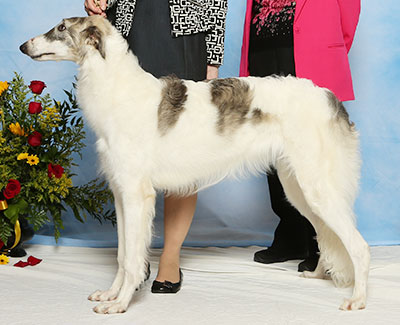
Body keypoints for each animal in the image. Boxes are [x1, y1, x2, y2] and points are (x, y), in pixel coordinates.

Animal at [20, 15, 370, 314]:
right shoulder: (120, 193)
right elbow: (122, 255)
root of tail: (328, 97)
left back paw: (358, 299)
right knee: (327, 235)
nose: (24, 46)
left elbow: (132, 259)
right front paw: (110, 294)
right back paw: (319, 275)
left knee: (358, 245)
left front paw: (120, 304)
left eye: (61, 27)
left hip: (316, 186)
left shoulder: (137, 194)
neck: (118, 90)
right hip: (298, 187)